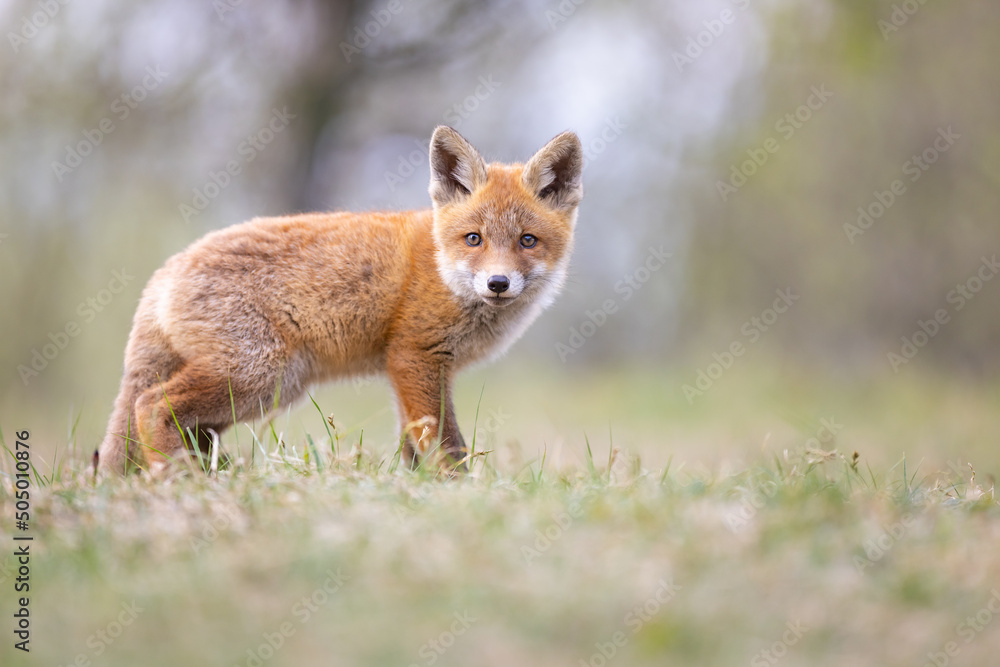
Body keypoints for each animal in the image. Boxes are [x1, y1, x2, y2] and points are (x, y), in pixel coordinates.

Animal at [97, 125, 584, 474]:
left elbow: (414, 447)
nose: (498, 283)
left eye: (527, 241)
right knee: (150, 405)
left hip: (267, 388)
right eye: (474, 239)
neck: (444, 272)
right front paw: (458, 492)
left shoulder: (407, 372)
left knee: (185, 428)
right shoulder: (415, 356)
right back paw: (177, 478)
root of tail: (166, 269)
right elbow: (447, 445)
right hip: (257, 373)